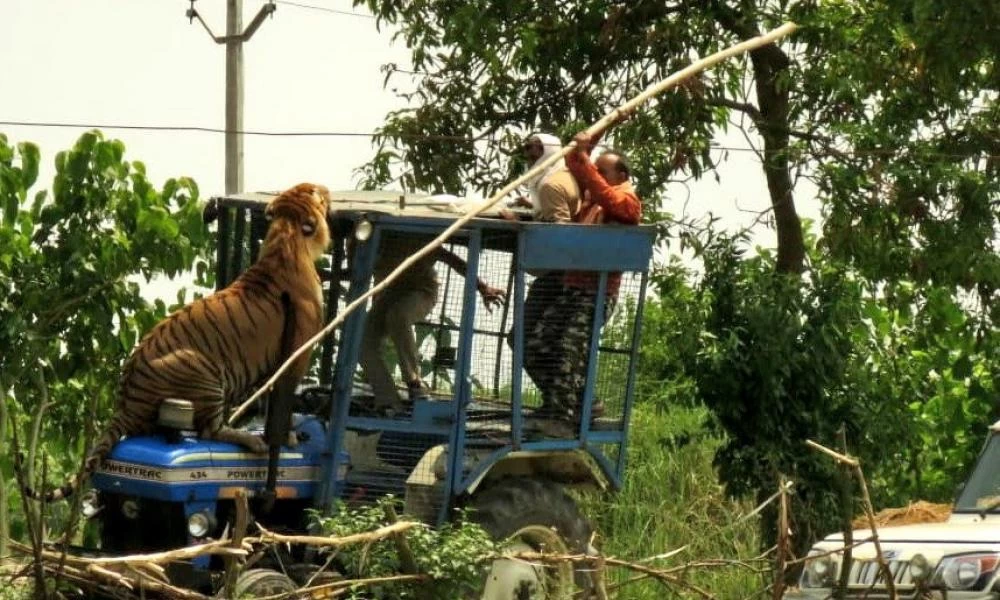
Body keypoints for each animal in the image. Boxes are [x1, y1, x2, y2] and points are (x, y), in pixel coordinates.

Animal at [26, 183, 332, 502]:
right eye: (316, 193)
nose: (325, 189)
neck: (286, 235)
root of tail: (125, 404)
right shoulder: (298, 354)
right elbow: (284, 398)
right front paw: (289, 437)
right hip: (204, 371)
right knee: (210, 431)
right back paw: (252, 441)